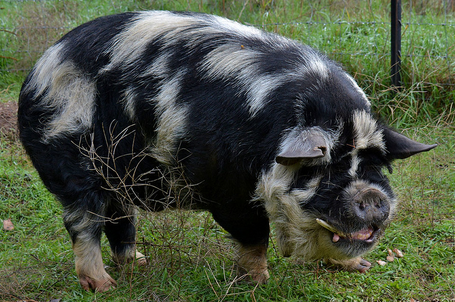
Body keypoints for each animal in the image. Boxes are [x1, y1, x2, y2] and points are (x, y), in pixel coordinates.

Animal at [18, 10, 438, 292]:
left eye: (376, 165)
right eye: (325, 169)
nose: (372, 196)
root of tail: (39, 69)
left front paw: (362, 267)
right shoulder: (227, 191)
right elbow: (255, 235)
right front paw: (258, 282)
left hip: (116, 179)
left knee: (120, 221)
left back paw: (139, 264)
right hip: (73, 164)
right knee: (82, 223)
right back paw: (104, 286)